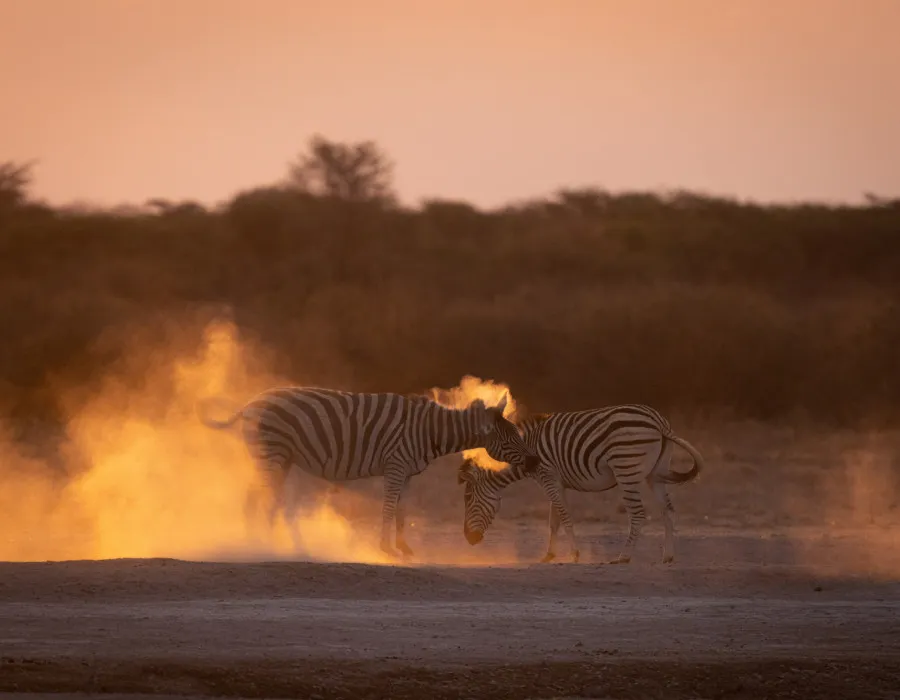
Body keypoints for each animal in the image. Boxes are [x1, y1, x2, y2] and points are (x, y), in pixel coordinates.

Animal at [197, 386, 539, 558]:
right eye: (510, 438)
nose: (535, 462)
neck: (429, 431)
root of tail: (250, 403)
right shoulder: (395, 465)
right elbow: (388, 508)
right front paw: (385, 548)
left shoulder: (408, 472)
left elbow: (402, 509)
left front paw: (404, 547)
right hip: (272, 453)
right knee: (260, 499)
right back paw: (260, 543)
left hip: (279, 458)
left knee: (260, 499)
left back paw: (262, 541)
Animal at [457, 404, 704, 564]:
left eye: (468, 498)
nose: (468, 539)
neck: (524, 451)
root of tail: (659, 422)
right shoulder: (556, 482)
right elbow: (554, 521)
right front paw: (548, 555)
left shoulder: (548, 477)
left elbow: (565, 517)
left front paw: (574, 554)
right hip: (656, 473)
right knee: (668, 511)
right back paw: (668, 556)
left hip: (626, 469)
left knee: (638, 514)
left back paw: (623, 557)